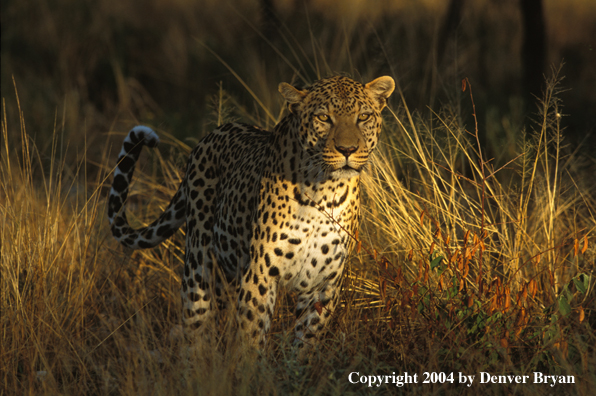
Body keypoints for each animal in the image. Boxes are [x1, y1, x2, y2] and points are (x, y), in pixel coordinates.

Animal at [107, 75, 396, 356]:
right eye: (324, 118)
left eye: (364, 117)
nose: (347, 150)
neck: (324, 190)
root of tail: (212, 133)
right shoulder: (260, 274)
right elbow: (252, 338)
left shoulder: (323, 284)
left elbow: (305, 345)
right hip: (198, 265)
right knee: (195, 328)